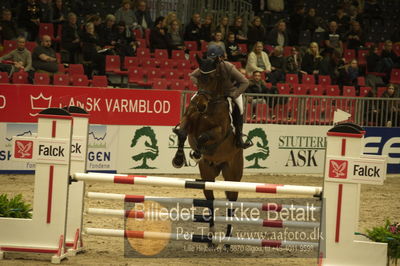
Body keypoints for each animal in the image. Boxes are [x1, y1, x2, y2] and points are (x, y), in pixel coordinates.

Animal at [172, 55, 244, 245]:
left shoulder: (219, 131)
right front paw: (179, 159)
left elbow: (205, 136)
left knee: (231, 206)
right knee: (210, 201)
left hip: (233, 176)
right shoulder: (189, 119)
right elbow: (183, 133)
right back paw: (211, 237)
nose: (200, 105)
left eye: (212, 78)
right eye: (200, 78)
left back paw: (227, 241)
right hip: (207, 176)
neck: (210, 105)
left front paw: (196, 152)